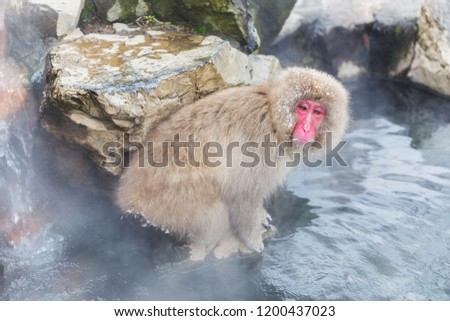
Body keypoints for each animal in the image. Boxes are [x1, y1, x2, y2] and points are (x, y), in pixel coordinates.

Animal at [115, 67, 348, 260]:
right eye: (303, 107)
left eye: (317, 112)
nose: (307, 129)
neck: (274, 117)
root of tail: (125, 195)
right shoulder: (261, 147)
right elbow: (244, 194)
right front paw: (252, 239)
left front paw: (261, 216)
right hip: (170, 202)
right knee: (212, 213)